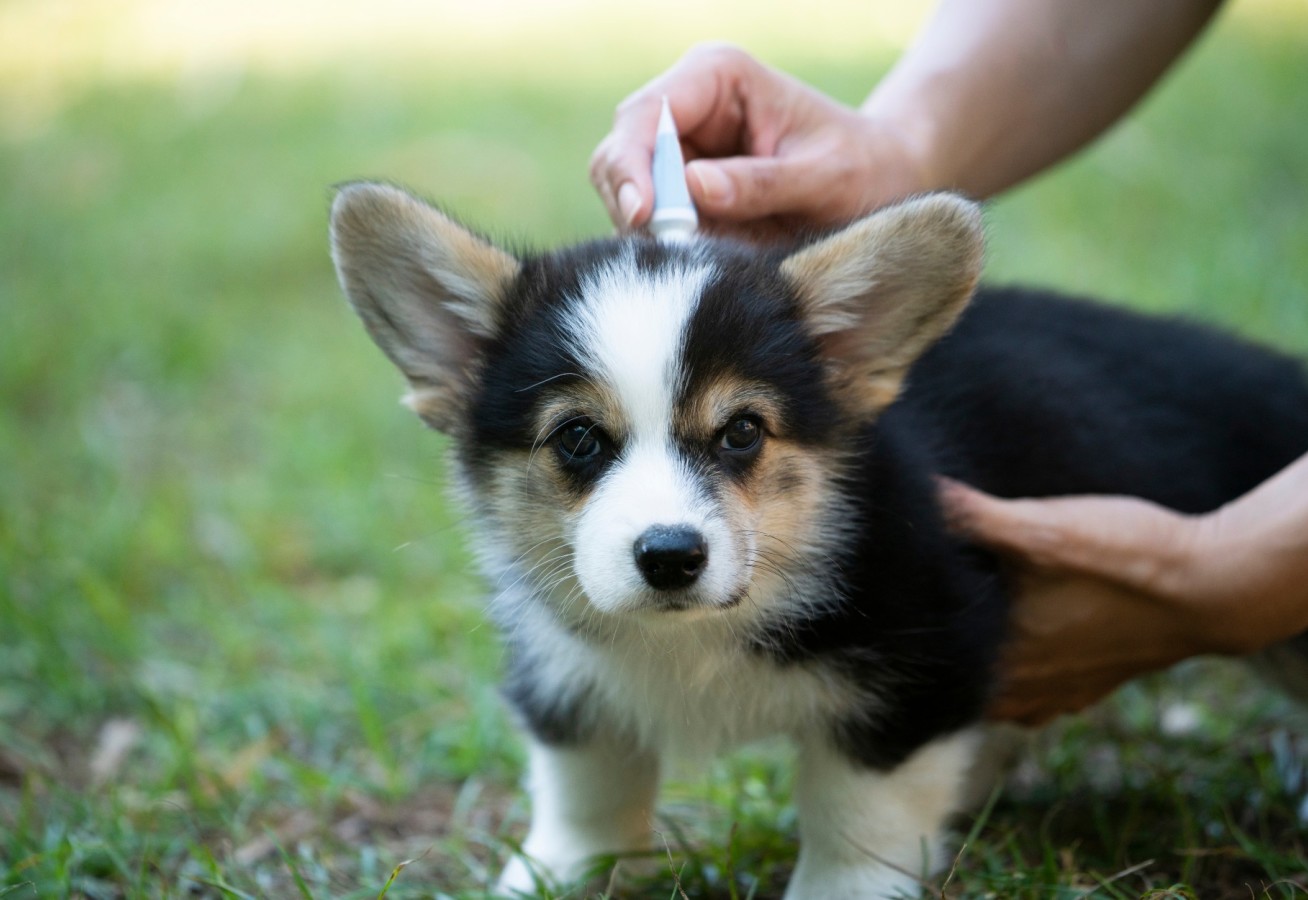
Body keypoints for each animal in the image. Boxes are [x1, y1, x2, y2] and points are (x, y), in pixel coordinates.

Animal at [327, 179, 1308, 894]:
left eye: (742, 432)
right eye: (577, 439)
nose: (670, 557)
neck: (702, 635)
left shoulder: (922, 665)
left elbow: (857, 815)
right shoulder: (565, 677)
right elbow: (586, 794)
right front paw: (562, 875)